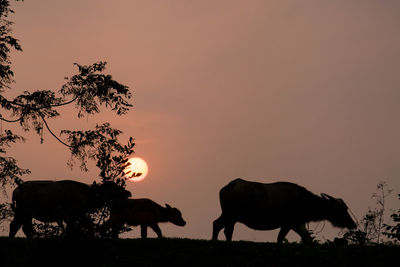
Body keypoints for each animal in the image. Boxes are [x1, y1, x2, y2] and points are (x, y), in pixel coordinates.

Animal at [212, 179, 356, 244]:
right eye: (341, 209)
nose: (353, 224)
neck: (303, 201)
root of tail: (227, 187)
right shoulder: (289, 224)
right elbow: (281, 238)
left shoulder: (297, 224)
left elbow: (306, 238)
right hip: (231, 216)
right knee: (220, 226)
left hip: (230, 216)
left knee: (222, 227)